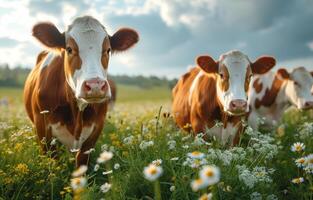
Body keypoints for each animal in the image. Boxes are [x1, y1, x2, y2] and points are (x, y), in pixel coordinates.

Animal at [23, 15, 138, 166]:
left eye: (108, 50)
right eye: (69, 49)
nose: (95, 85)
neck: (76, 110)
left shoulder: (95, 130)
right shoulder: (42, 128)